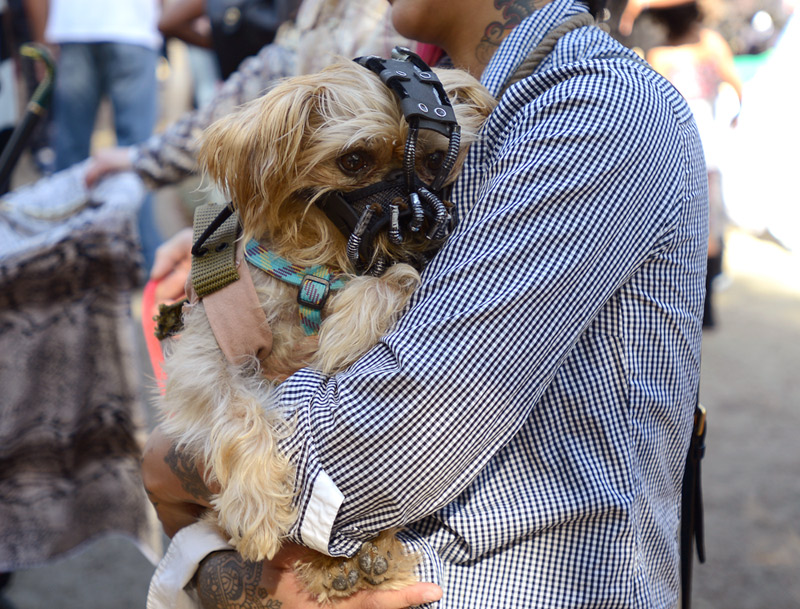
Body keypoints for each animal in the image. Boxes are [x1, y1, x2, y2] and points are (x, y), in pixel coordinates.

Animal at [155, 51, 494, 600]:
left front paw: (348, 329)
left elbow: (396, 278)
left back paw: (366, 557)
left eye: (430, 160)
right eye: (353, 161)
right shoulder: (203, 363)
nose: (412, 218)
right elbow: (240, 410)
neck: (314, 275)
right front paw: (257, 508)